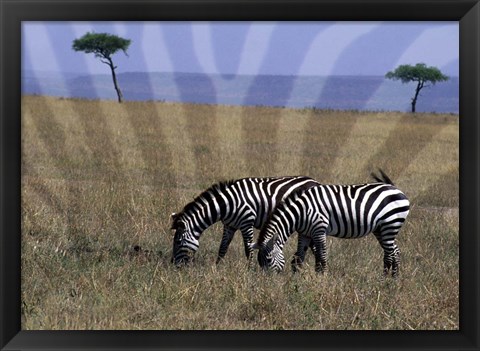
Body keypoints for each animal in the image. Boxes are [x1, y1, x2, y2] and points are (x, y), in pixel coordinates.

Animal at [171, 176, 320, 266]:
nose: (173, 265)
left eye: (178, 242)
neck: (227, 204)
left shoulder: (246, 223)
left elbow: (248, 249)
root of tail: (316, 182)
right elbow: (222, 248)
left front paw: (250, 271)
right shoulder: (229, 225)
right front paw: (217, 268)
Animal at [253, 172, 410, 280]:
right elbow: (299, 257)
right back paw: (394, 279)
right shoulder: (305, 233)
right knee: (395, 251)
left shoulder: (319, 229)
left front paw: (322, 278)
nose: (268, 282)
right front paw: (296, 278)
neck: (301, 211)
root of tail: (395, 188)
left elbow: (321, 255)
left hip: (389, 225)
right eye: (259, 262)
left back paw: (383, 280)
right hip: (381, 229)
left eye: (268, 260)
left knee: (389, 254)